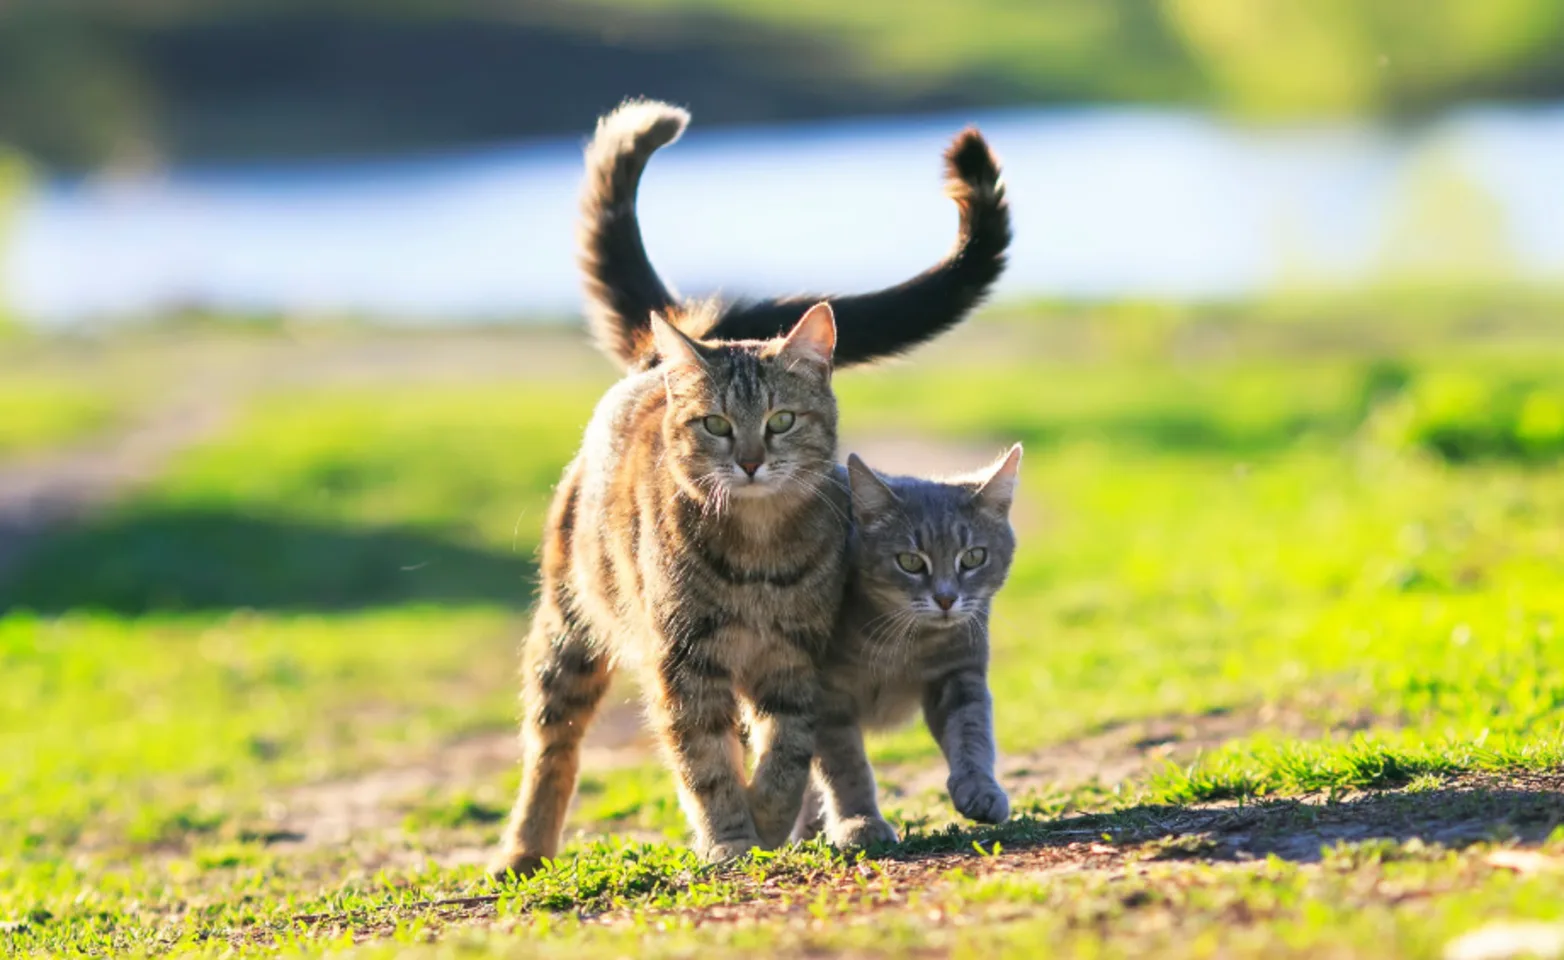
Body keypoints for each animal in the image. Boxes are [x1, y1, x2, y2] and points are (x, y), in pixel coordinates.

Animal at [491, 300, 850, 881]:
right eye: (716, 424)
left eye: (781, 421)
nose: (751, 462)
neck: (758, 552)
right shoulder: (685, 660)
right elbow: (705, 762)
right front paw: (730, 838)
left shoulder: (796, 658)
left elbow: (786, 752)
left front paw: (767, 819)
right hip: (567, 637)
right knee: (551, 747)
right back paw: (524, 850)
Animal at [788, 447, 1019, 850]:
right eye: (910, 561)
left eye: (973, 557)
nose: (946, 598)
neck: (900, 643)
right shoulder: (827, 697)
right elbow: (844, 765)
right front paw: (859, 821)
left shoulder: (959, 672)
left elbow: (971, 731)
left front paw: (980, 788)